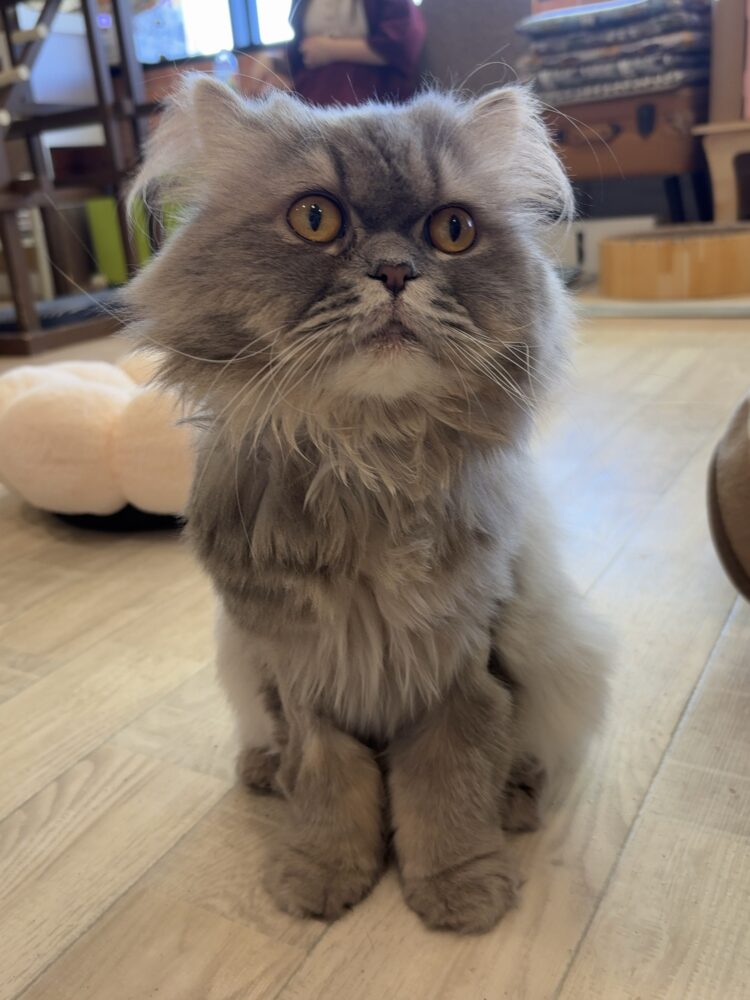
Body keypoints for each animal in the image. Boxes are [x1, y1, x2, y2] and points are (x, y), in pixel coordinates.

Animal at [127, 76, 609, 934]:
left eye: (453, 230)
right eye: (315, 219)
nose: (393, 272)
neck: (368, 459)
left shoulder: (462, 669)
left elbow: (448, 790)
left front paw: (459, 887)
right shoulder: (301, 672)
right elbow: (328, 786)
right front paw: (321, 874)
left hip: (562, 653)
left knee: (528, 760)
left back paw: (516, 803)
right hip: (238, 660)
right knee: (271, 748)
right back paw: (262, 769)